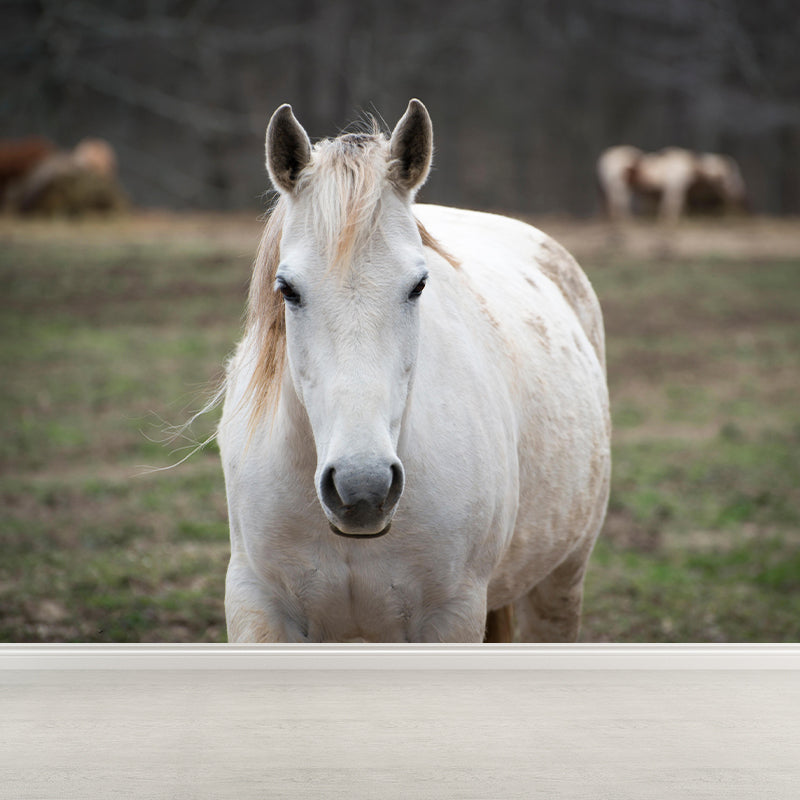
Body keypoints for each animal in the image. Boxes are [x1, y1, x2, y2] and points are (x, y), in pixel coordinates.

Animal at [217, 100, 611, 643]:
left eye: (419, 284)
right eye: (288, 288)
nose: (362, 489)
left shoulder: (453, 615)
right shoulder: (257, 605)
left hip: (559, 582)